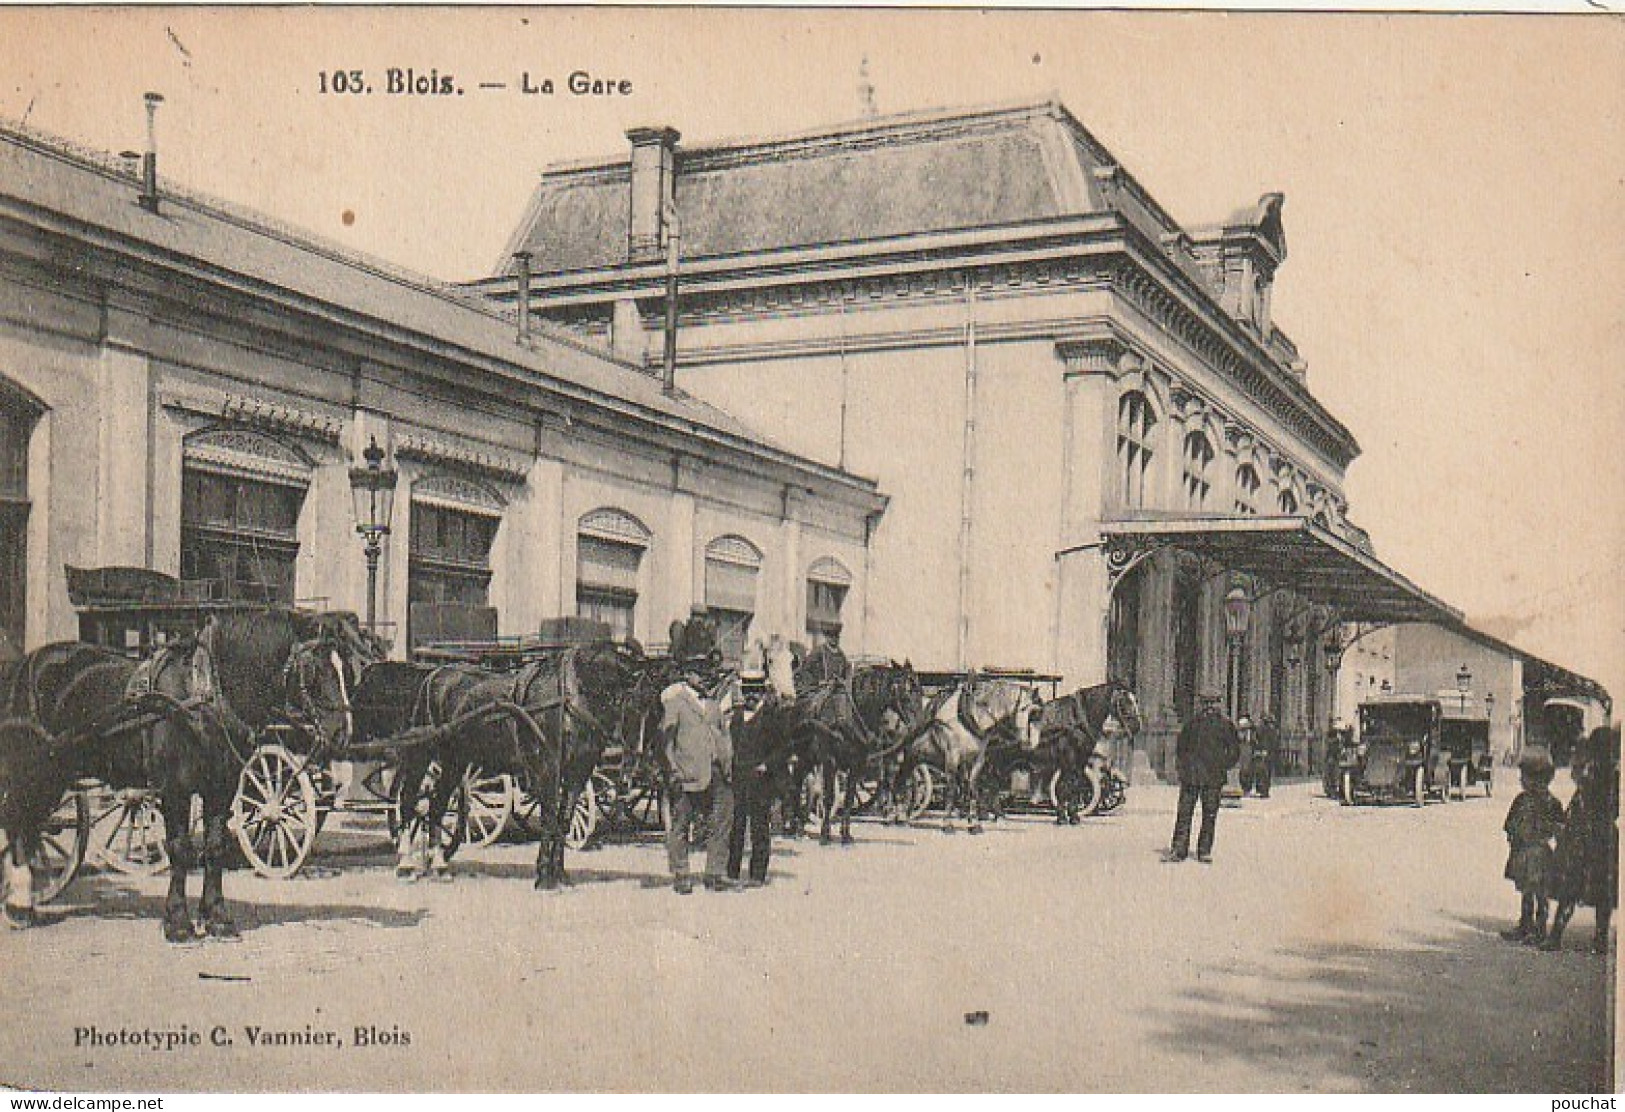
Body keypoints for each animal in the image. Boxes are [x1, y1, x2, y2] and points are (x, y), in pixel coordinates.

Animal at [393, 643, 640, 884]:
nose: (631, 762)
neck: (572, 696)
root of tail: (434, 674)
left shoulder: (577, 774)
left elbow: (564, 819)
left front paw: (559, 873)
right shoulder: (548, 769)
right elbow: (549, 818)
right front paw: (544, 876)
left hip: (455, 760)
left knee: (437, 805)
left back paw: (439, 866)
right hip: (422, 755)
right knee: (408, 800)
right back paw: (406, 864)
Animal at [903, 676, 1040, 832]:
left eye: (1037, 713)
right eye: (1024, 709)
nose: (1030, 743)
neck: (968, 716)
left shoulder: (977, 759)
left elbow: (972, 786)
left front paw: (974, 823)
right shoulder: (952, 756)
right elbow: (951, 789)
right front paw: (947, 824)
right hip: (912, 756)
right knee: (906, 781)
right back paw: (903, 814)